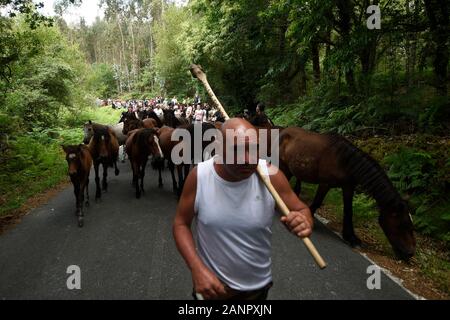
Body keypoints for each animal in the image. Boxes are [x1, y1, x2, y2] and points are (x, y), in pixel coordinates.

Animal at [280, 126, 416, 262]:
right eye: (402, 225)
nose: (410, 253)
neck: (344, 161)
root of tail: (284, 130)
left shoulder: (348, 187)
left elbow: (348, 211)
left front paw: (351, 237)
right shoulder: (325, 184)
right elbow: (317, 202)